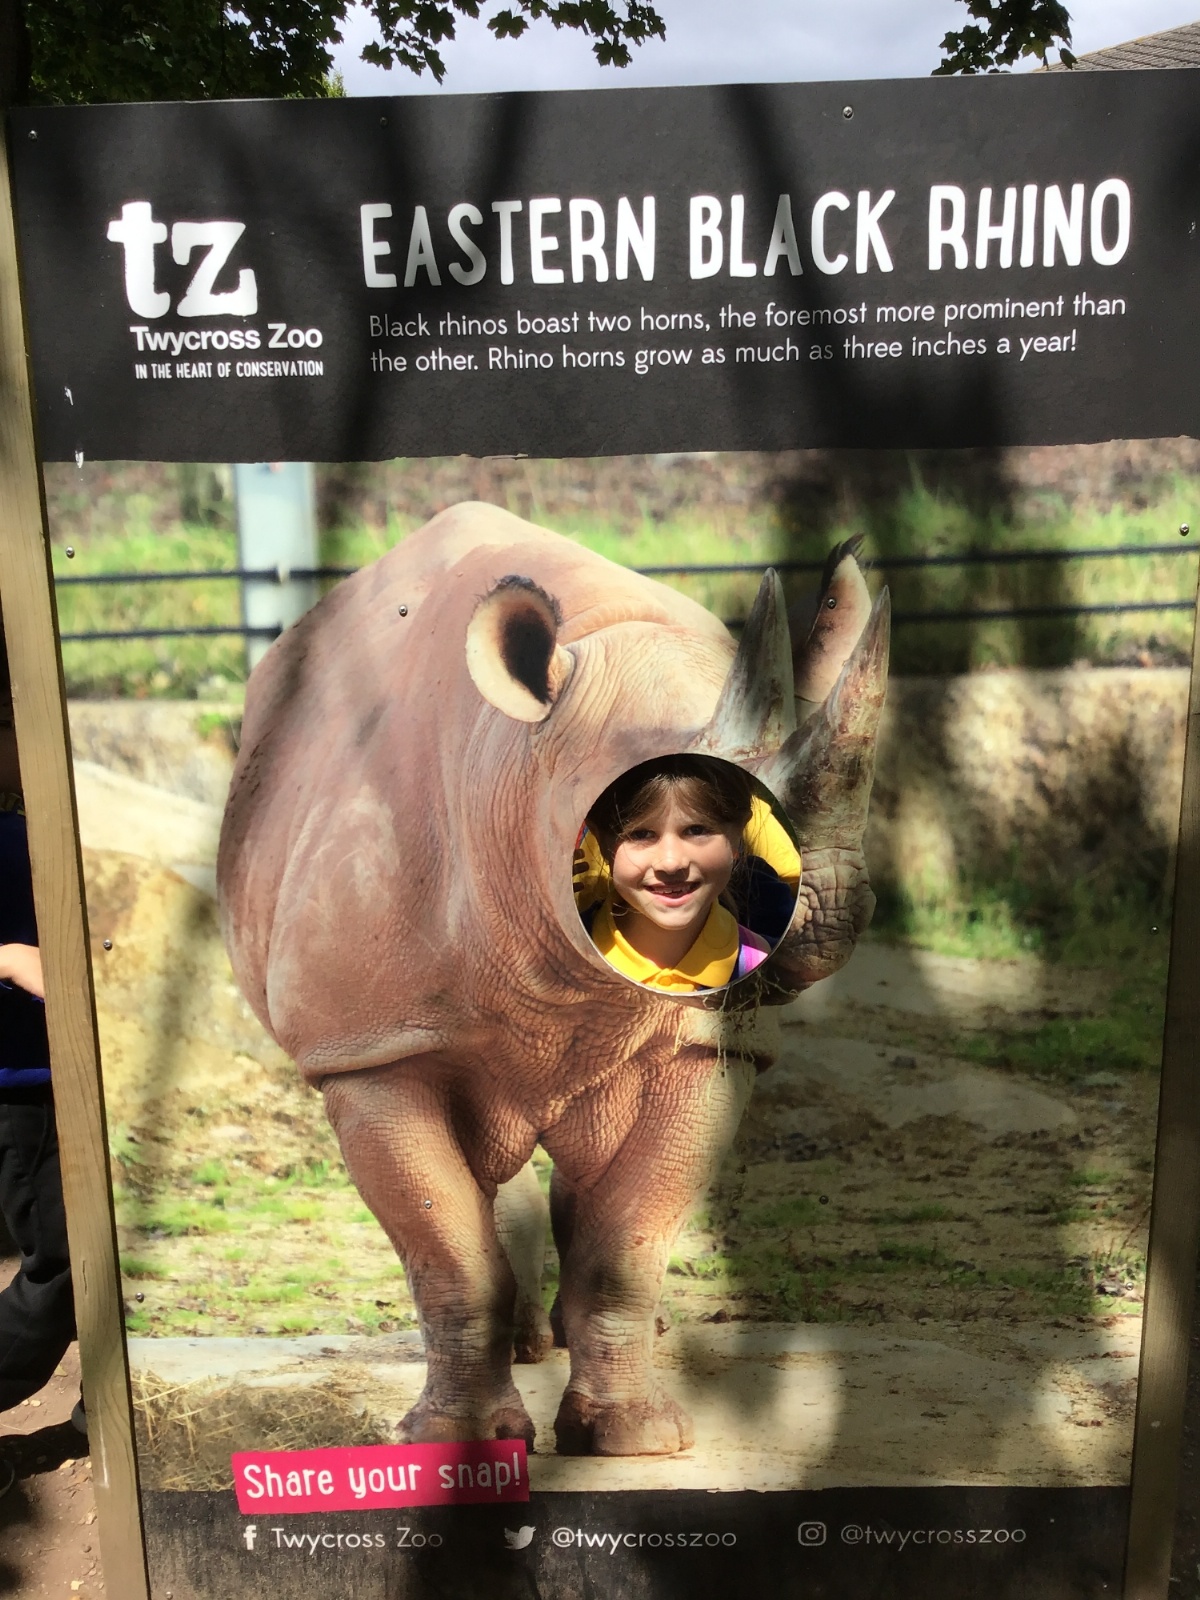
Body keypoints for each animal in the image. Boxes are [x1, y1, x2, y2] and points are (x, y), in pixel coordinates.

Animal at [217, 501, 889, 1457]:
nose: (816, 914)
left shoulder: (709, 1043)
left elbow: (629, 1240)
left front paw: (634, 1439)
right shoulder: (371, 1047)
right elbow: (447, 1248)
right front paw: (457, 1441)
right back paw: (530, 1345)